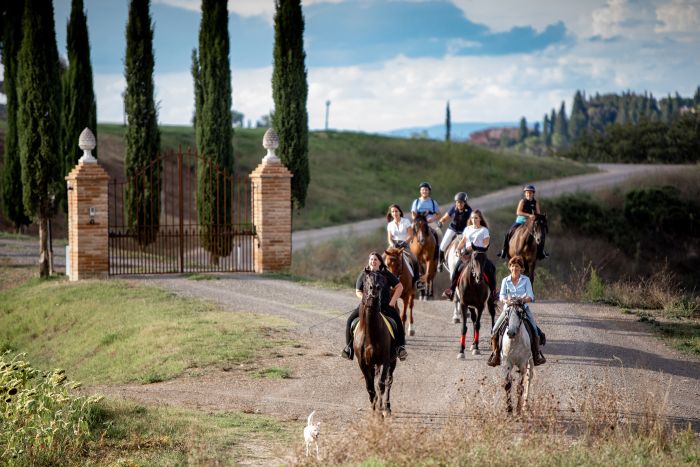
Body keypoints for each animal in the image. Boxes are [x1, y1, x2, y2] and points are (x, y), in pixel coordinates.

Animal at [352, 268, 396, 418]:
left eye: (382, 279)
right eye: (366, 279)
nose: (374, 289)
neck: (371, 333)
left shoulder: (385, 360)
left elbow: (381, 385)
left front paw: (380, 411)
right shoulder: (363, 363)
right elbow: (370, 387)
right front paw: (373, 411)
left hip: (392, 362)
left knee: (389, 382)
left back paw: (387, 407)